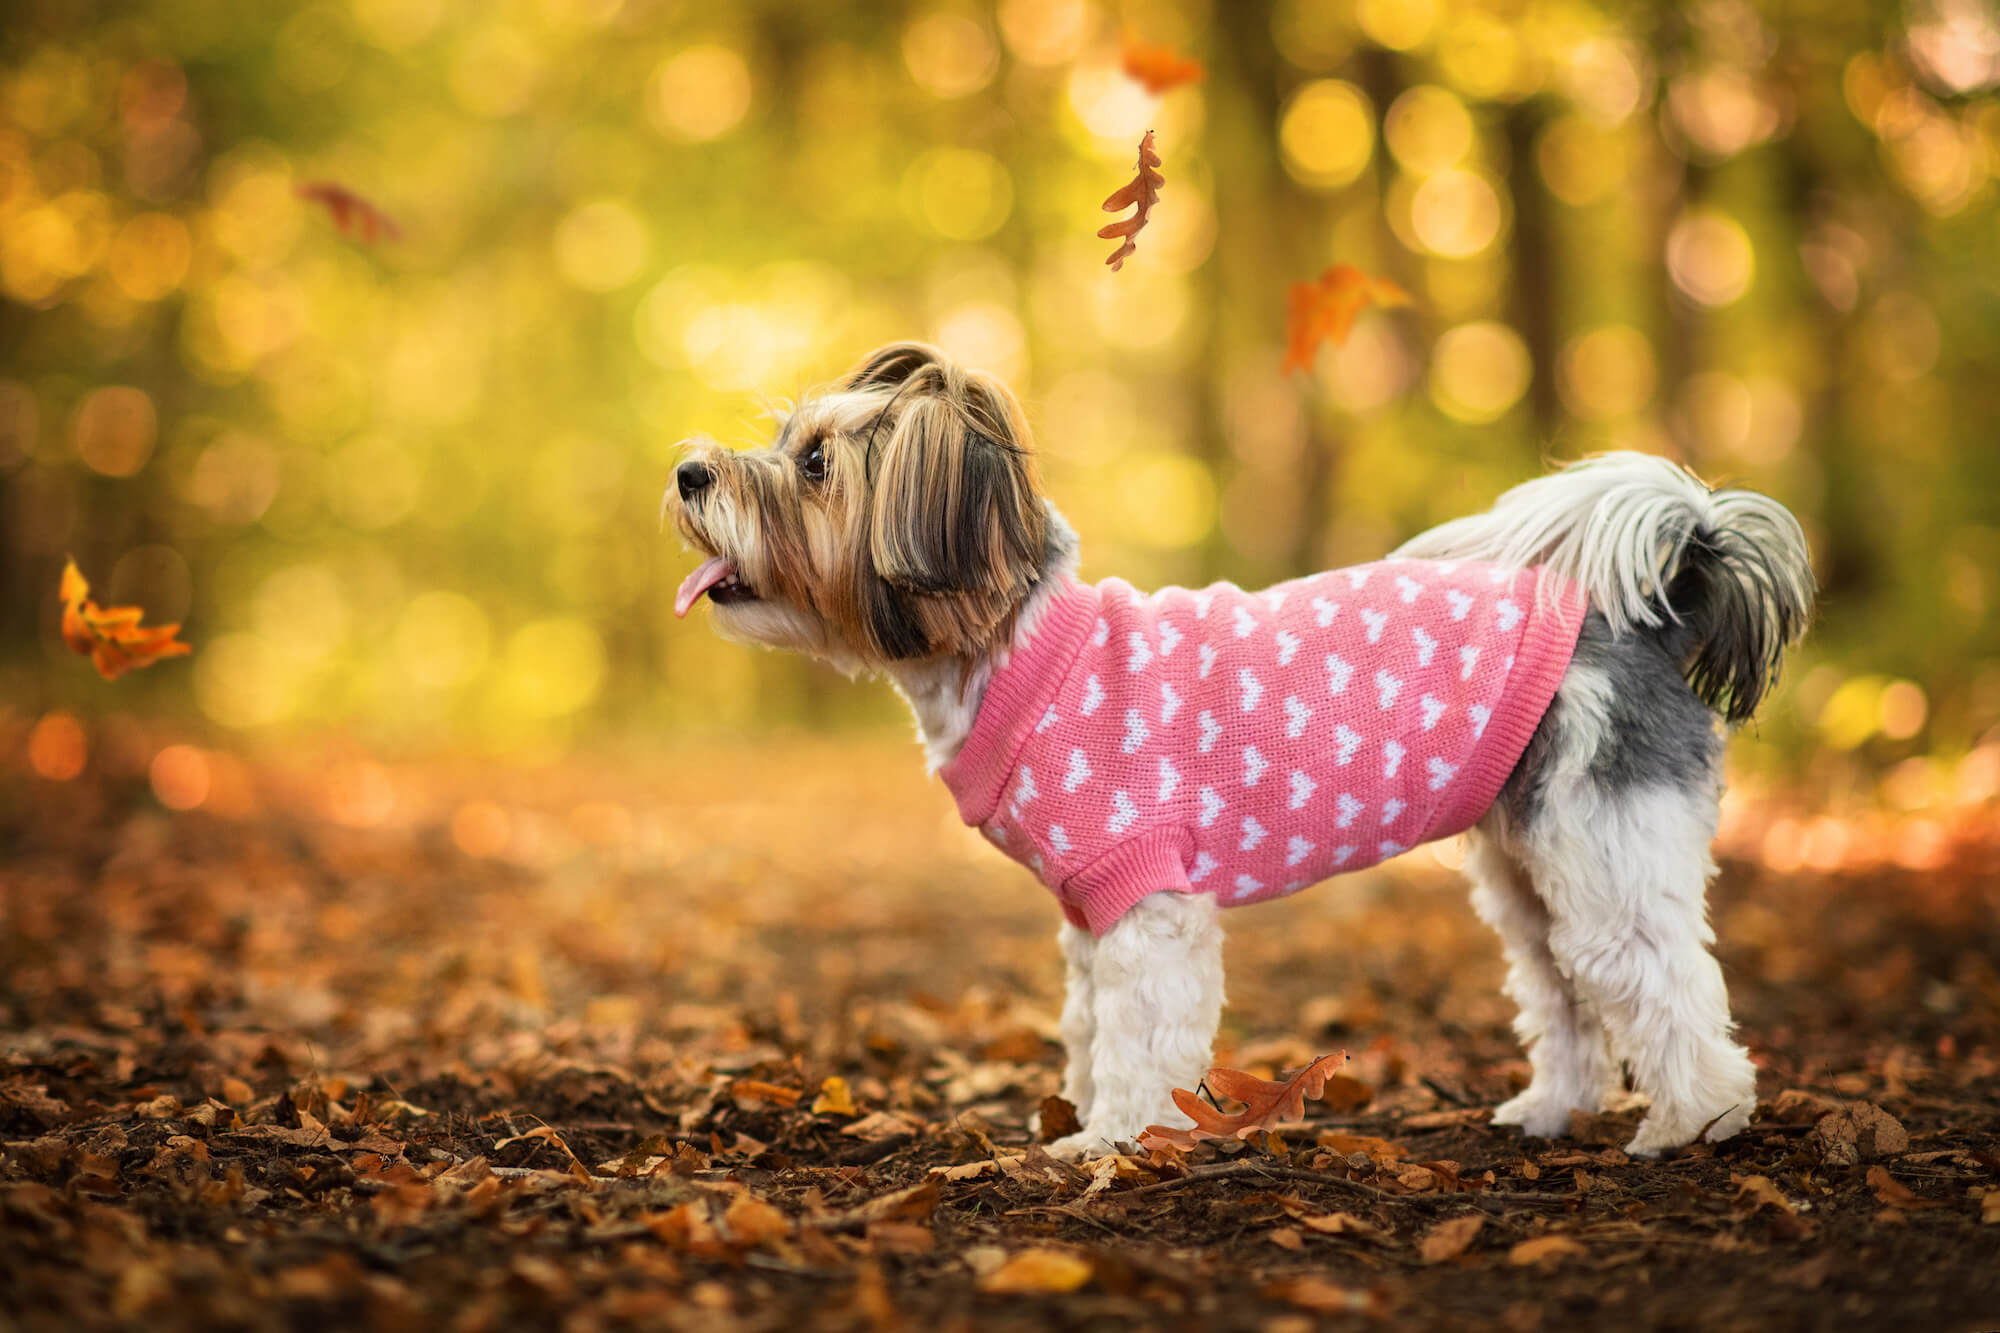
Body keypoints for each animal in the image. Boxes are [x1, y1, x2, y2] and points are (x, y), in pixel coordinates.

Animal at [668, 340, 1816, 1152]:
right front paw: (1083, 1117)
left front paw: (1112, 1140)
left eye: (815, 463)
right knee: (1562, 987)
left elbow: (1139, 1039)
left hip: (1604, 853)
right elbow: (1088, 1029)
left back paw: (1694, 1121)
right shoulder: (1089, 914)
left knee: (1659, 979)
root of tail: (1645, 612)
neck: (1017, 651)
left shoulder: (1147, 903)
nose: (686, 472)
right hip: (1530, 872)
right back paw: (1549, 1110)